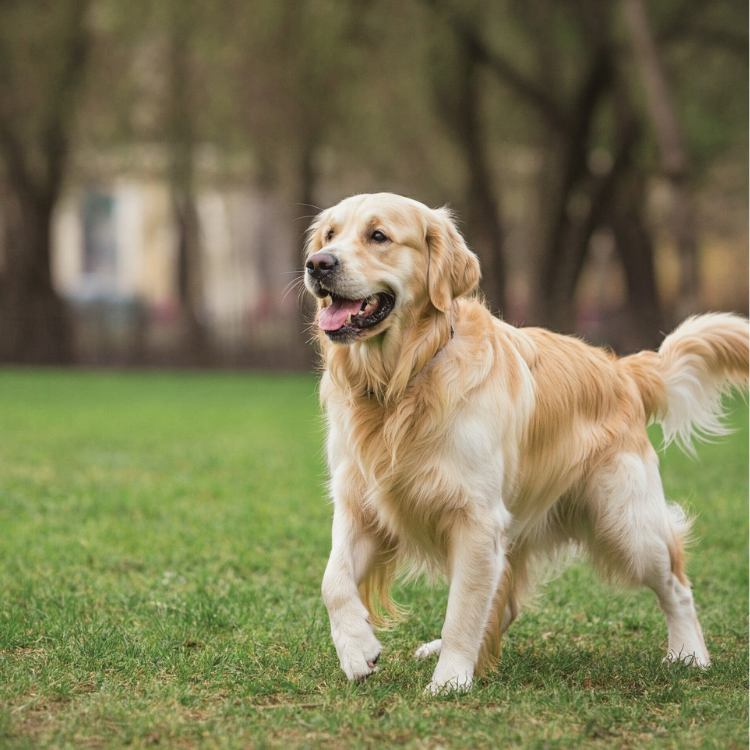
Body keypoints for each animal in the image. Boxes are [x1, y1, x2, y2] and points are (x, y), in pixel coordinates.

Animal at [302, 192, 748, 692]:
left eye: (378, 236)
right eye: (329, 235)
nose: (317, 264)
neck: (403, 381)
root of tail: (623, 369)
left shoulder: (476, 518)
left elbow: (461, 612)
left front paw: (450, 682)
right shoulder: (359, 503)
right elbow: (333, 580)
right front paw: (357, 649)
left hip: (626, 520)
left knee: (676, 584)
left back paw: (689, 653)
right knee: (504, 599)